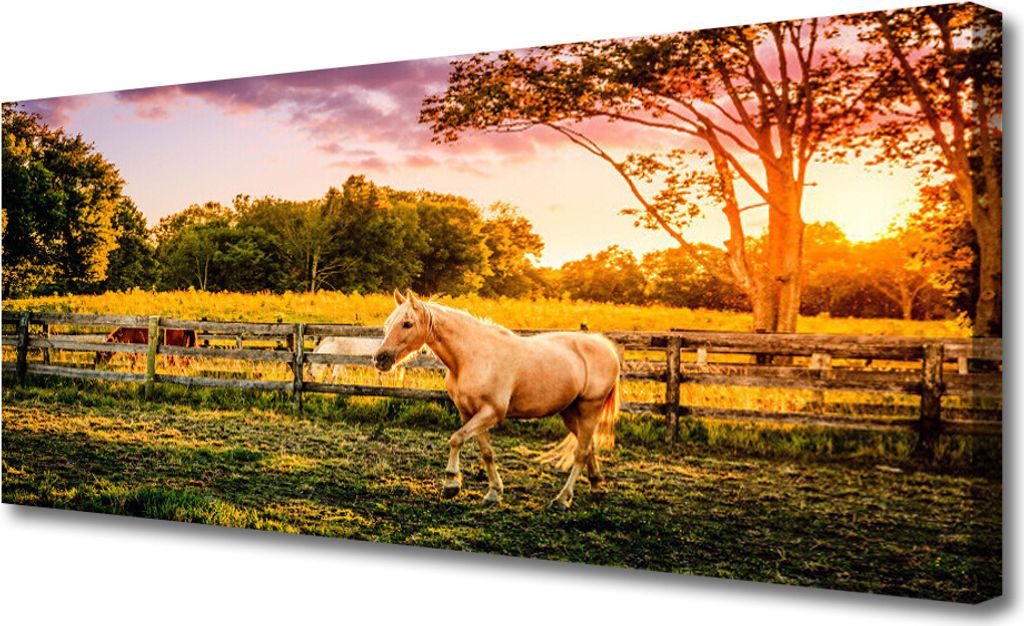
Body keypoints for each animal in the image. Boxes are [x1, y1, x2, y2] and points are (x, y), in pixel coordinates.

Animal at [374, 290, 620, 510]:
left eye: (407, 324)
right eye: (388, 324)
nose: (380, 358)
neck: (472, 358)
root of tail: (604, 346)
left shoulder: (491, 412)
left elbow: (456, 439)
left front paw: (451, 483)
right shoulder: (470, 413)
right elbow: (487, 453)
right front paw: (493, 493)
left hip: (589, 409)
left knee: (580, 453)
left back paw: (561, 499)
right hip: (570, 412)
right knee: (588, 447)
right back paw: (596, 486)